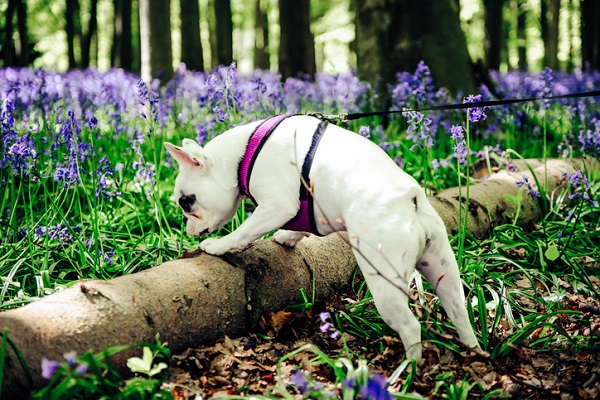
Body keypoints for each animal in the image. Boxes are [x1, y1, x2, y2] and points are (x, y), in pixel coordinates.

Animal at [165, 114, 482, 360]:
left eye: (186, 203)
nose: (187, 227)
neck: (243, 154)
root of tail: (410, 199)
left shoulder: (277, 205)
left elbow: (246, 229)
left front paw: (220, 246)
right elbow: (300, 226)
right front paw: (288, 236)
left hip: (385, 282)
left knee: (410, 327)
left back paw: (406, 373)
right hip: (443, 270)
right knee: (459, 311)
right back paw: (473, 350)